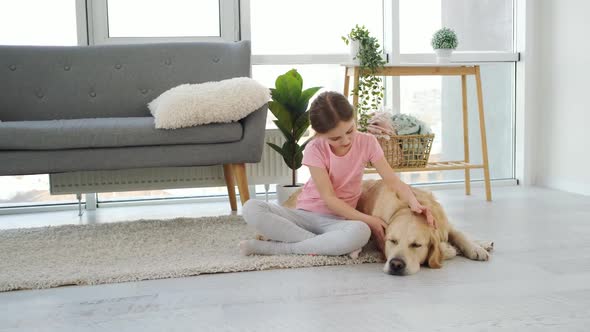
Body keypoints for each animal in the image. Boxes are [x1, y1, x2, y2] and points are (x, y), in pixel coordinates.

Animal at [284, 180, 494, 276]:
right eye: (392, 241)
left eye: (416, 245)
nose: (396, 265)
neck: (408, 208)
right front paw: (449, 249)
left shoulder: (443, 224)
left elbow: (460, 233)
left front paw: (476, 248)